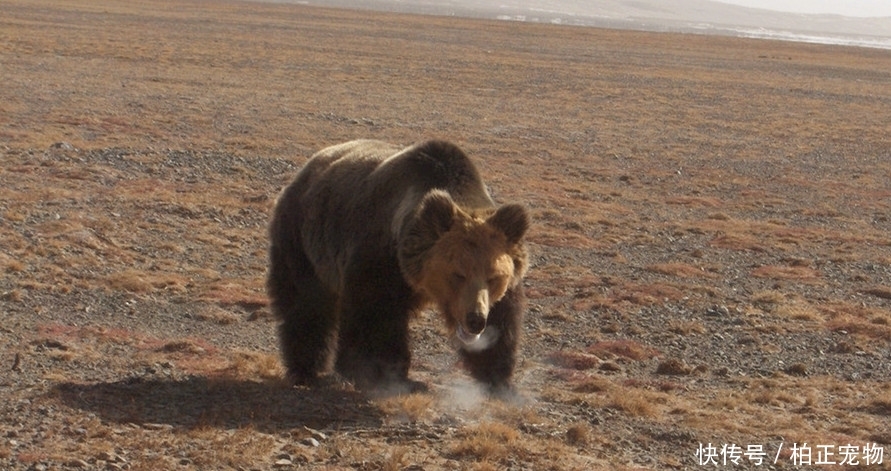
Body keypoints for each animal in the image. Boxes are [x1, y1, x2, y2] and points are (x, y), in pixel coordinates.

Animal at [266, 138, 528, 396]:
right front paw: (382, 373)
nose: (475, 319)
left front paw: (500, 380)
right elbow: (374, 315)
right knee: (306, 303)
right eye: (457, 274)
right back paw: (305, 370)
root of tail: (305, 170)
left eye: (494, 277)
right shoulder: (380, 260)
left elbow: (502, 323)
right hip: (303, 238)